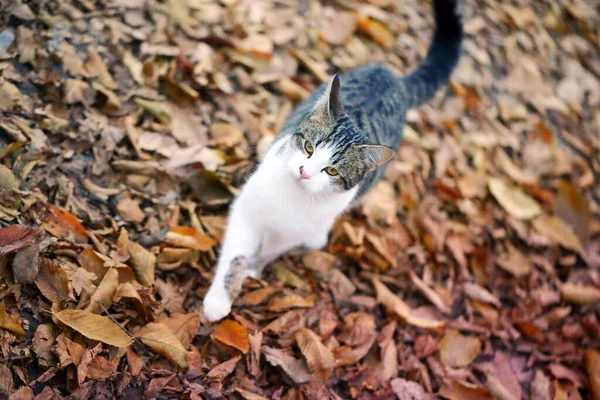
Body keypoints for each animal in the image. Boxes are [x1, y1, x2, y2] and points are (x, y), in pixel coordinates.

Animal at [204, 0, 462, 322]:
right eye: (308, 147)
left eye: (332, 171)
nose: (304, 171)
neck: (291, 198)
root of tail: (394, 80)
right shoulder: (248, 209)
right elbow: (235, 253)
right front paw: (219, 297)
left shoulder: (290, 234)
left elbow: (269, 250)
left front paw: (254, 266)